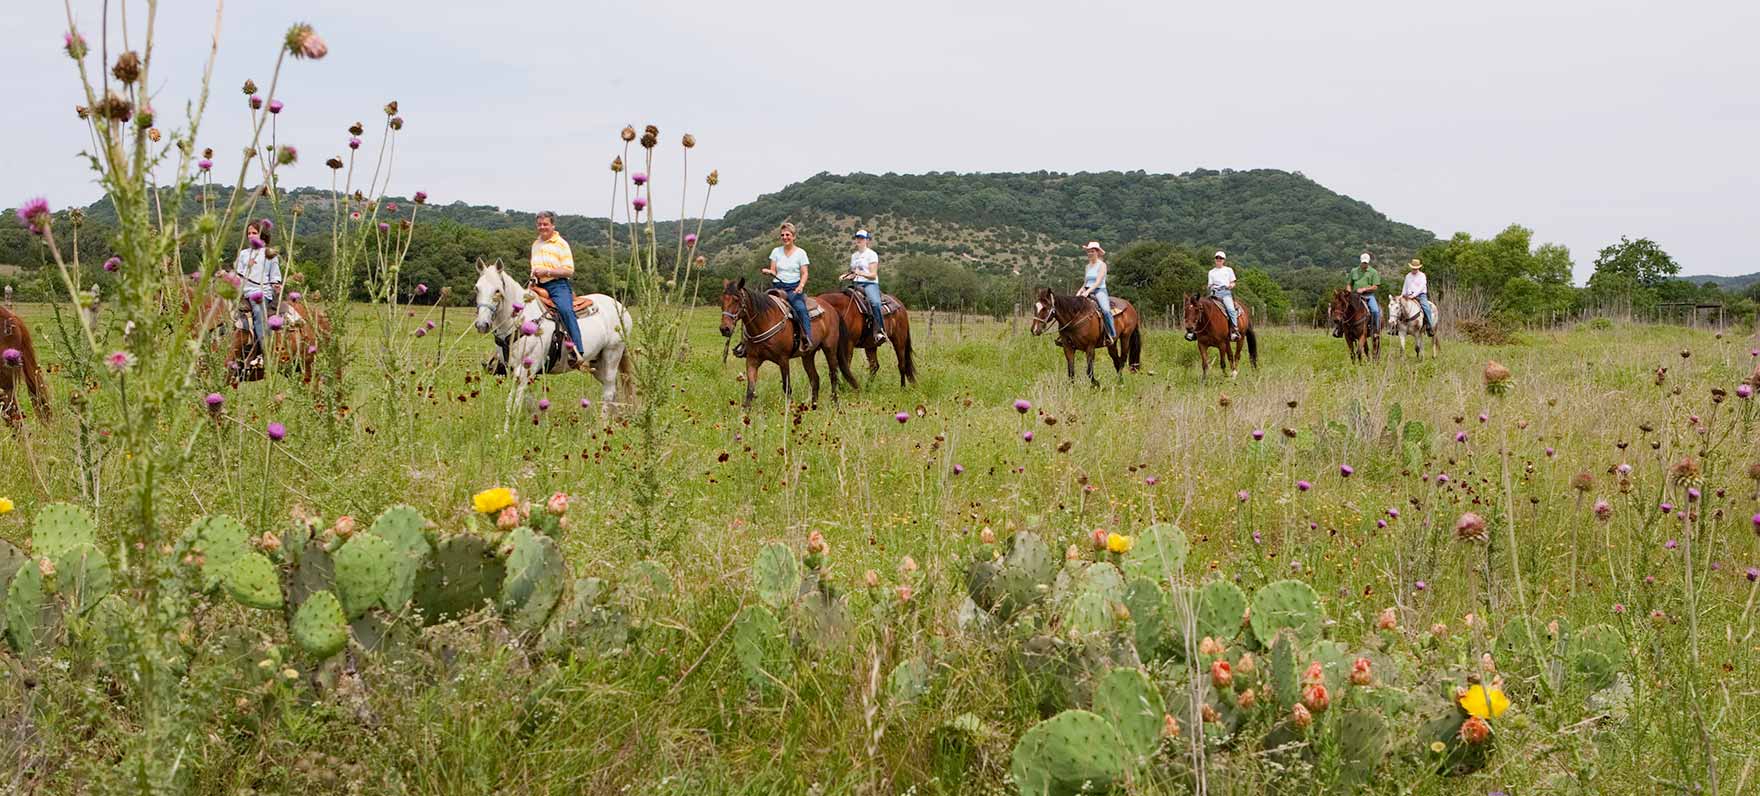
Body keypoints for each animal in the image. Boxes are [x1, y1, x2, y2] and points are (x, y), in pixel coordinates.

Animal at [468, 260, 633, 426]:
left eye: (497, 290)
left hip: (612, 354)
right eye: (477, 288)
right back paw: (614, 423)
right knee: (612, 389)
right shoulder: (517, 371)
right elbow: (529, 402)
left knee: (609, 391)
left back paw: (602, 425)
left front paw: (506, 431)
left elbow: (513, 402)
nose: (482, 324)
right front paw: (538, 425)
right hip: (597, 363)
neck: (522, 322)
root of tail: (620, 307)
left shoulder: (525, 370)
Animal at [721, 278, 844, 410]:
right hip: (807, 355)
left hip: (829, 349)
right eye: (722, 300)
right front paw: (745, 413)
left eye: (736, 299)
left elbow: (787, 387)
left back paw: (836, 405)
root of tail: (830, 308)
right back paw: (814, 407)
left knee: (833, 375)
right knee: (815, 379)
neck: (765, 321)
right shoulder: (752, 360)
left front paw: (788, 409)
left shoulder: (783, 359)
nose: (725, 329)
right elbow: (750, 390)